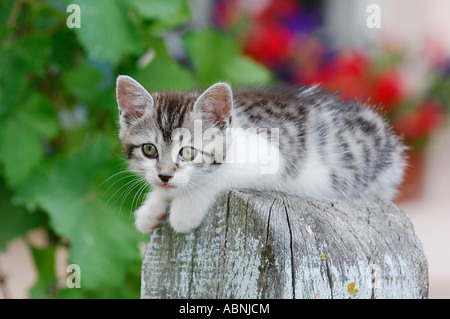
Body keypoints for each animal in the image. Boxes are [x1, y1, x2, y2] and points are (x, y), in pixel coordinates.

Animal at [114, 76, 406, 234]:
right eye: (149, 150)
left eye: (187, 152)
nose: (164, 176)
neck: (233, 135)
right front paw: (153, 206)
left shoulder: (273, 156)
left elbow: (216, 178)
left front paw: (185, 208)